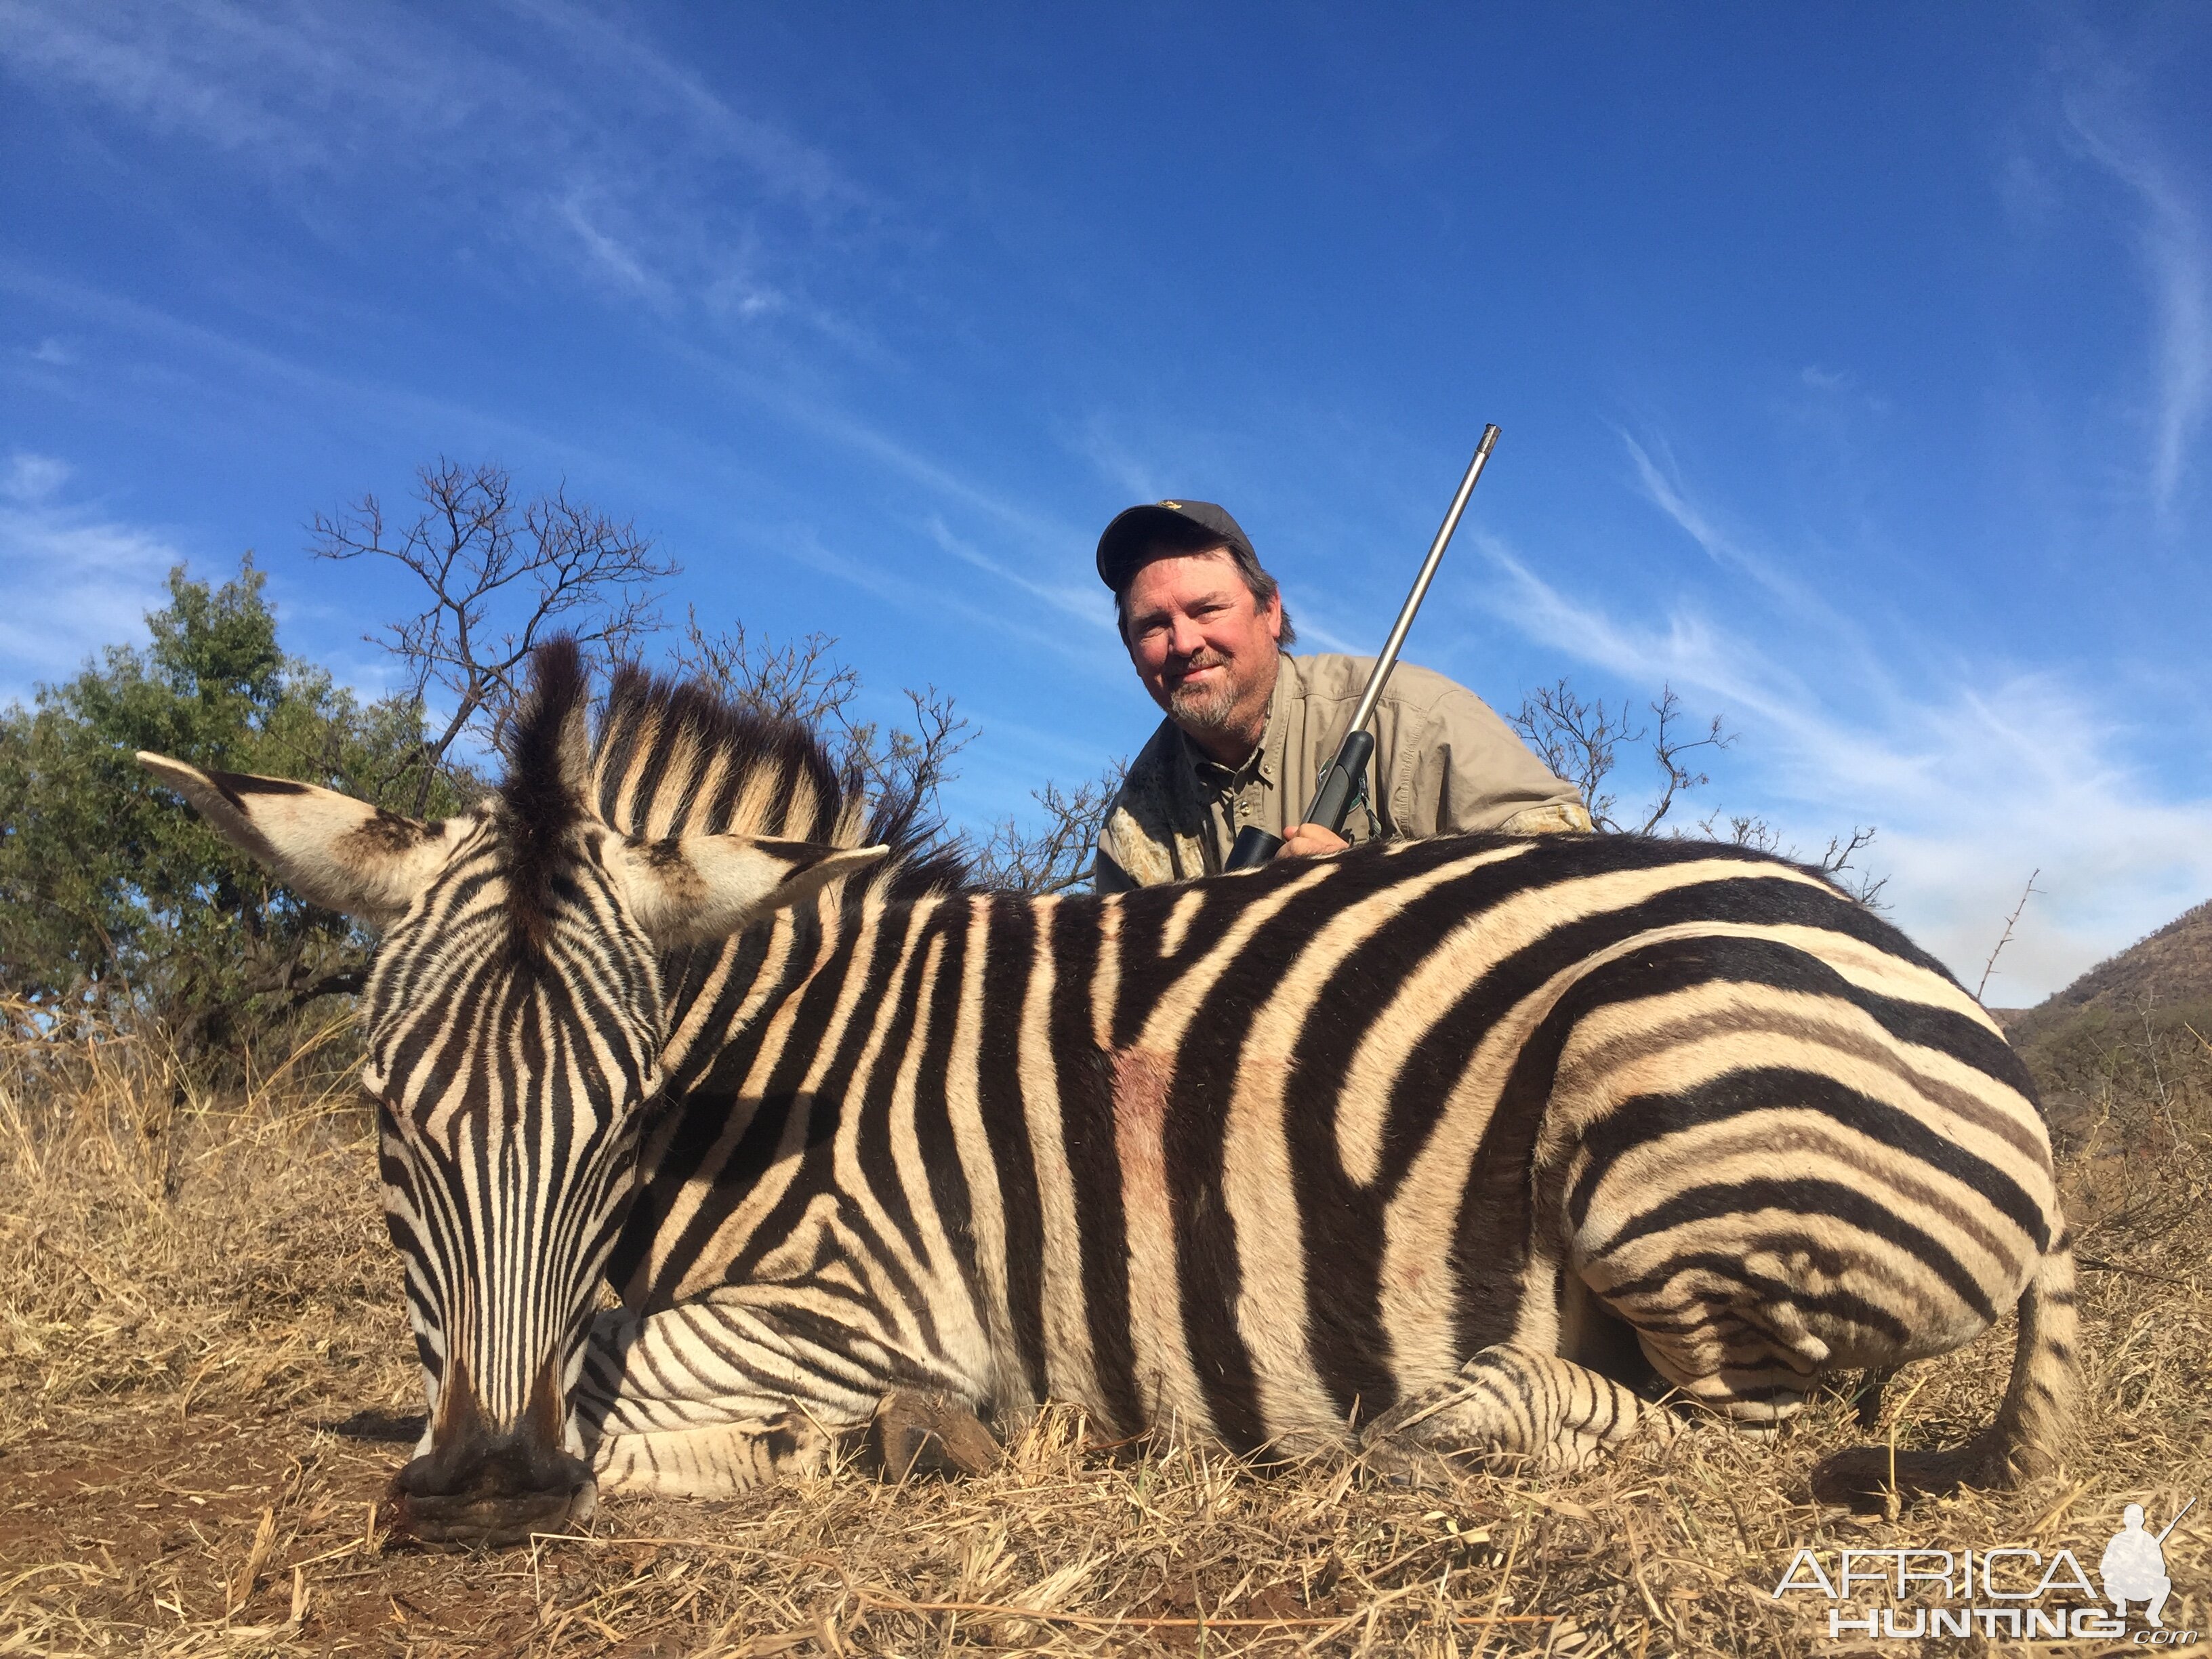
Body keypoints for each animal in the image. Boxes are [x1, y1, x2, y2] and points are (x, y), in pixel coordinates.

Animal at [138, 641, 2070, 1557]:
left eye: (627, 1116)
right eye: (384, 1111)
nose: (482, 1492)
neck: (770, 1067)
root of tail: (1967, 1020)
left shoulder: (883, 1293)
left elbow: (640, 1360)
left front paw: (868, 1440)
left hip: (1652, 1115)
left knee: (1733, 1431)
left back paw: (1449, 1420)